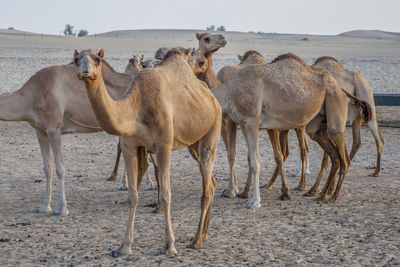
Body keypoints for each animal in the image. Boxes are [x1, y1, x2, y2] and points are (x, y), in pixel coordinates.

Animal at [0, 56, 134, 216]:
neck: (32, 94)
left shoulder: (54, 127)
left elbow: (60, 169)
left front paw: (62, 208)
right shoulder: (40, 130)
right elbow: (47, 168)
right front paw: (45, 206)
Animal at [75, 48, 223, 258]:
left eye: (97, 59)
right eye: (76, 59)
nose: (85, 70)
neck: (136, 107)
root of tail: (211, 97)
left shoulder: (163, 145)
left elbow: (166, 195)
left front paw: (170, 246)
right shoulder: (130, 146)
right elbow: (132, 196)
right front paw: (124, 247)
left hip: (213, 128)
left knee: (207, 185)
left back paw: (196, 241)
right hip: (193, 143)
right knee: (211, 182)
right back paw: (204, 234)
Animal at [198, 53, 374, 208]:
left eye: (200, 61)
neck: (231, 92)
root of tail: (341, 89)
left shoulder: (251, 122)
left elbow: (255, 163)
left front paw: (254, 201)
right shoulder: (243, 123)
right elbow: (251, 159)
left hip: (335, 109)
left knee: (343, 156)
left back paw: (332, 197)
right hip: (316, 124)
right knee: (334, 155)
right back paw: (320, 194)